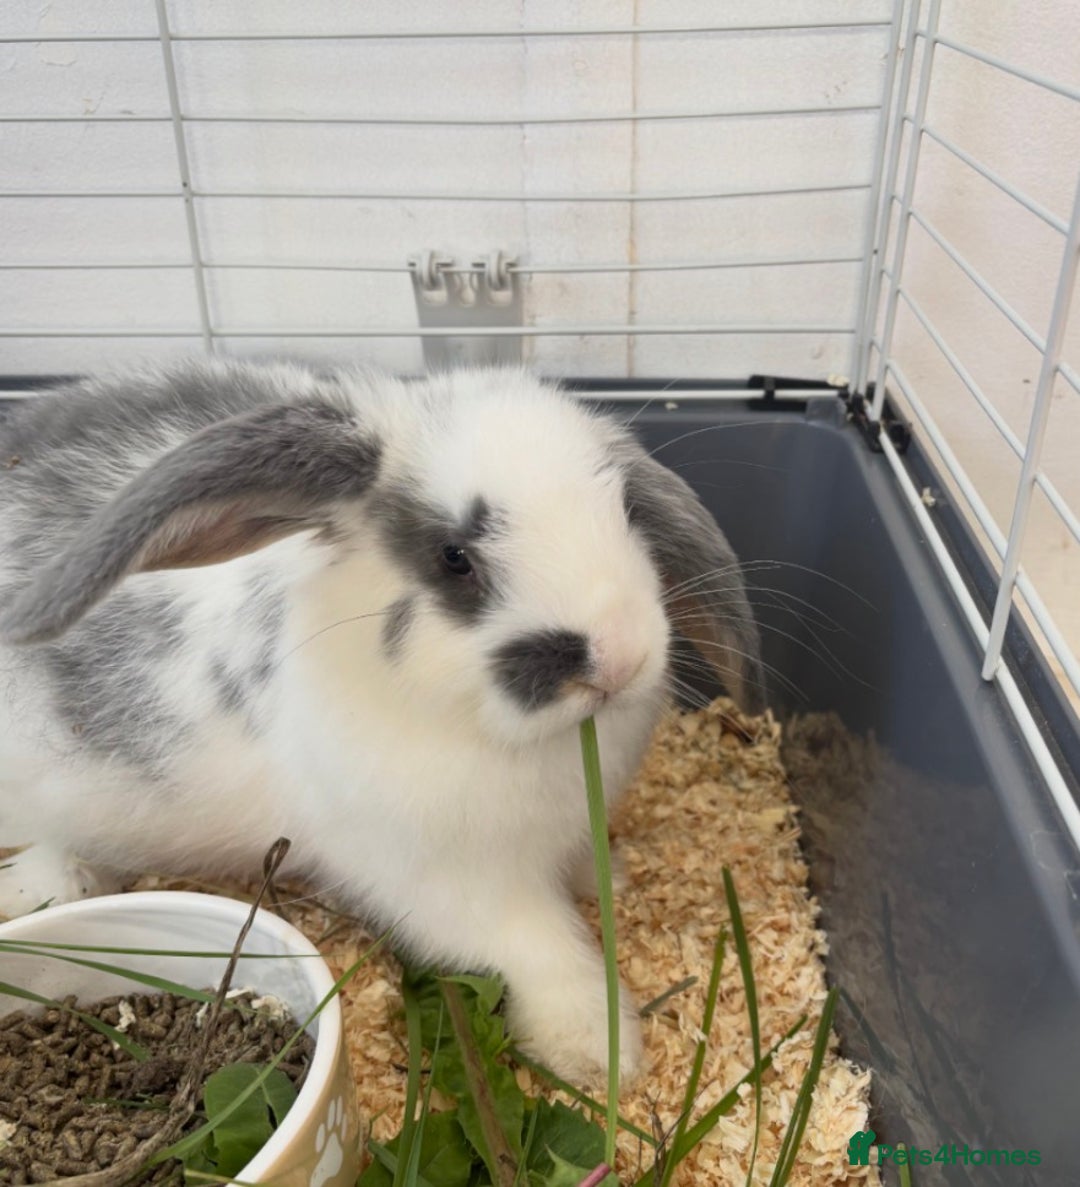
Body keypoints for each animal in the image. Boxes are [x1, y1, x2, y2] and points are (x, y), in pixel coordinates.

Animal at [0, 360, 763, 1083]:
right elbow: (546, 953)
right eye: (455, 558)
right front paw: (601, 1059)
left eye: (625, 509)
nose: (621, 657)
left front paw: (614, 879)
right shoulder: (455, 889)